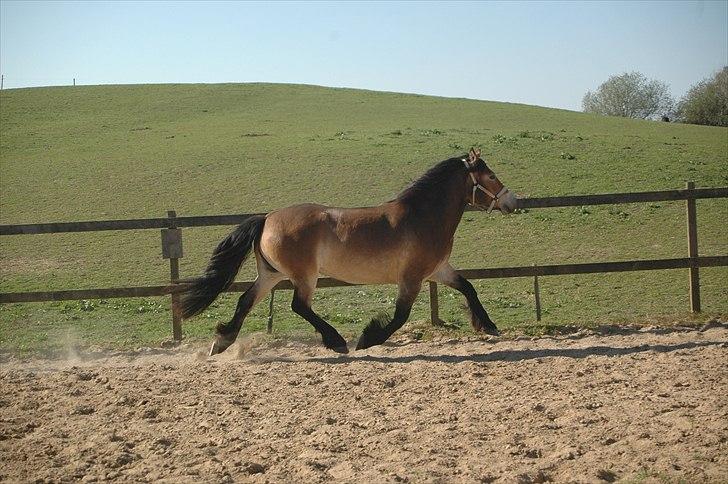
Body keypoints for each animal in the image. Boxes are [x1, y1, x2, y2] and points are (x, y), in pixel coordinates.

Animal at [181, 149, 516, 358]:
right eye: (490, 176)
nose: (512, 201)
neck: (422, 216)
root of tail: (267, 218)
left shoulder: (438, 270)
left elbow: (468, 287)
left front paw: (489, 326)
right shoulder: (412, 277)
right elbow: (400, 315)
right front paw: (368, 339)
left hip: (271, 274)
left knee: (246, 301)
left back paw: (222, 342)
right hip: (304, 275)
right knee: (299, 306)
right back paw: (337, 342)